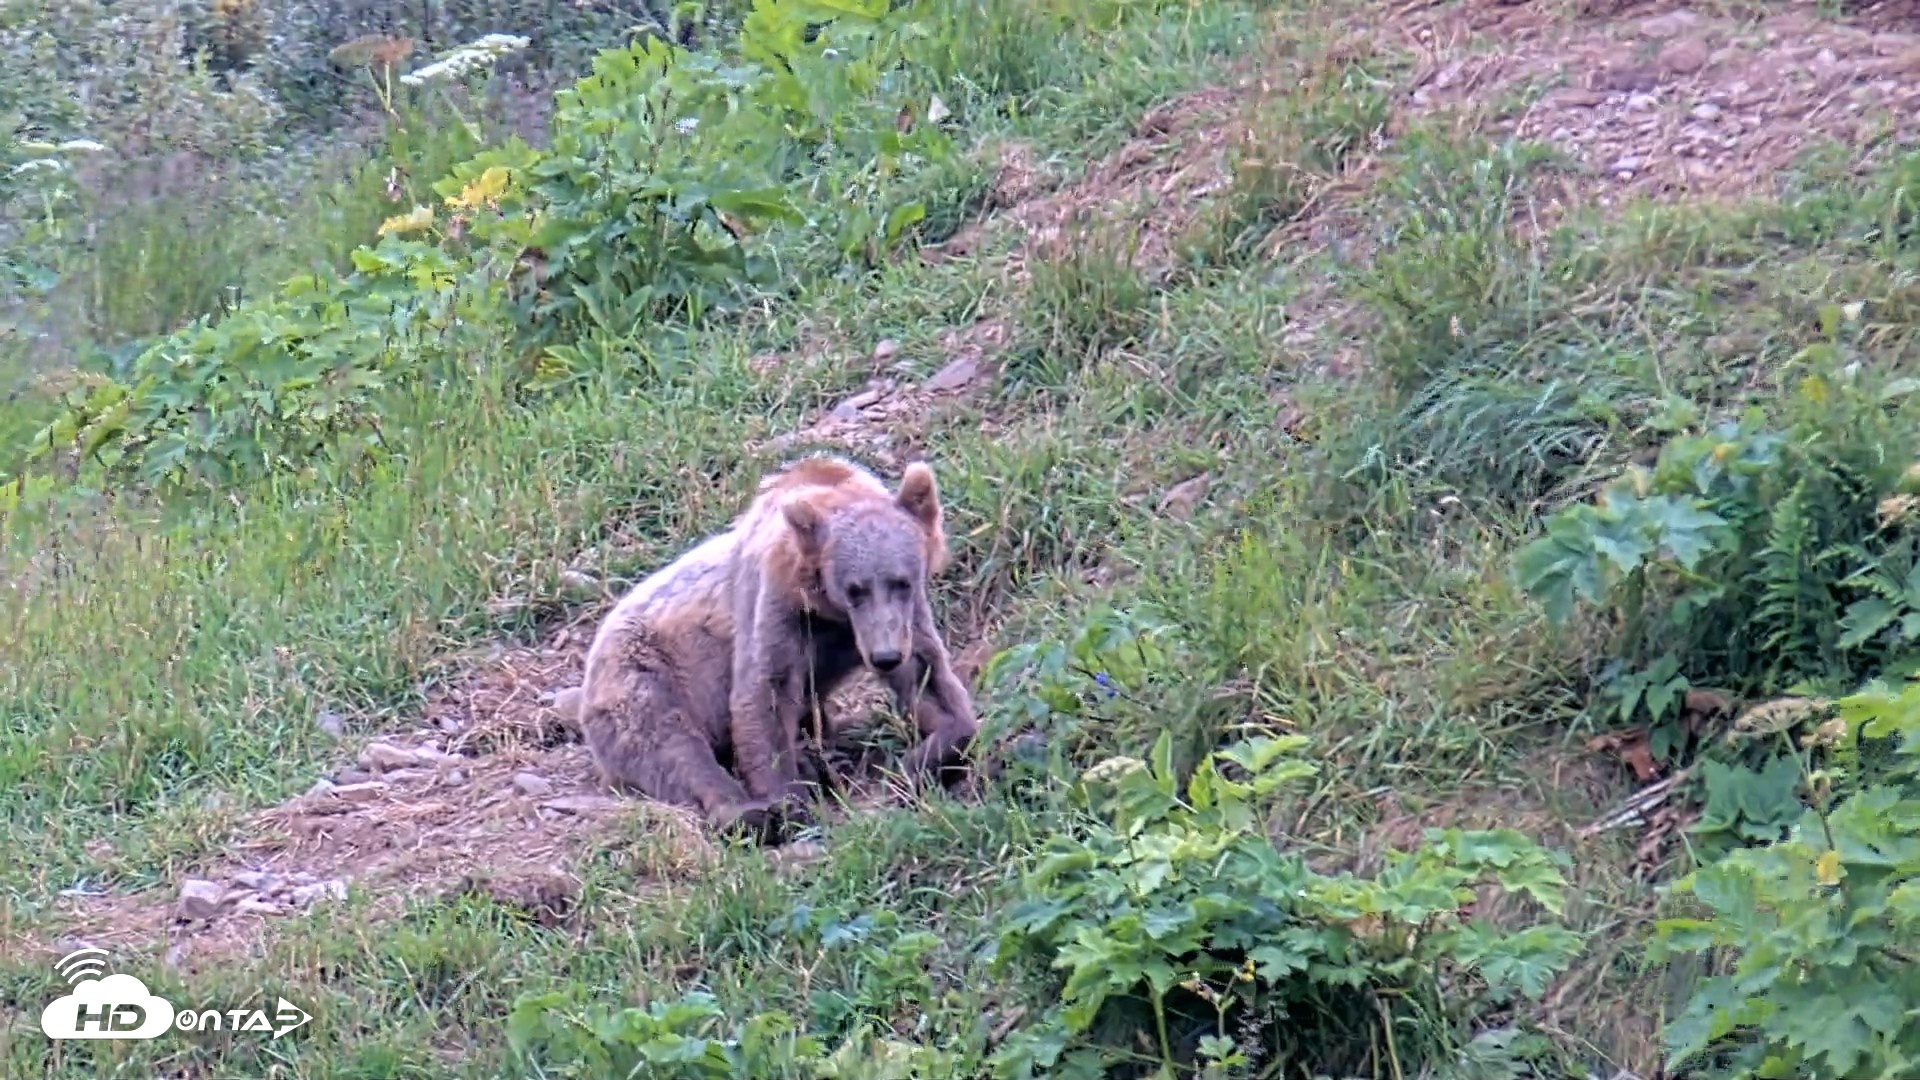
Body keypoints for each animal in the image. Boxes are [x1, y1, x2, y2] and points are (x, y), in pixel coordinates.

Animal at [572, 453, 979, 842]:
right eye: (855, 589)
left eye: (901, 582)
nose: (884, 657)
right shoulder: (777, 607)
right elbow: (763, 695)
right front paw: (788, 804)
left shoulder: (900, 620)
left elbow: (929, 680)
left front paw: (917, 762)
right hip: (640, 676)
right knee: (673, 745)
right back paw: (749, 812)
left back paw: (829, 758)